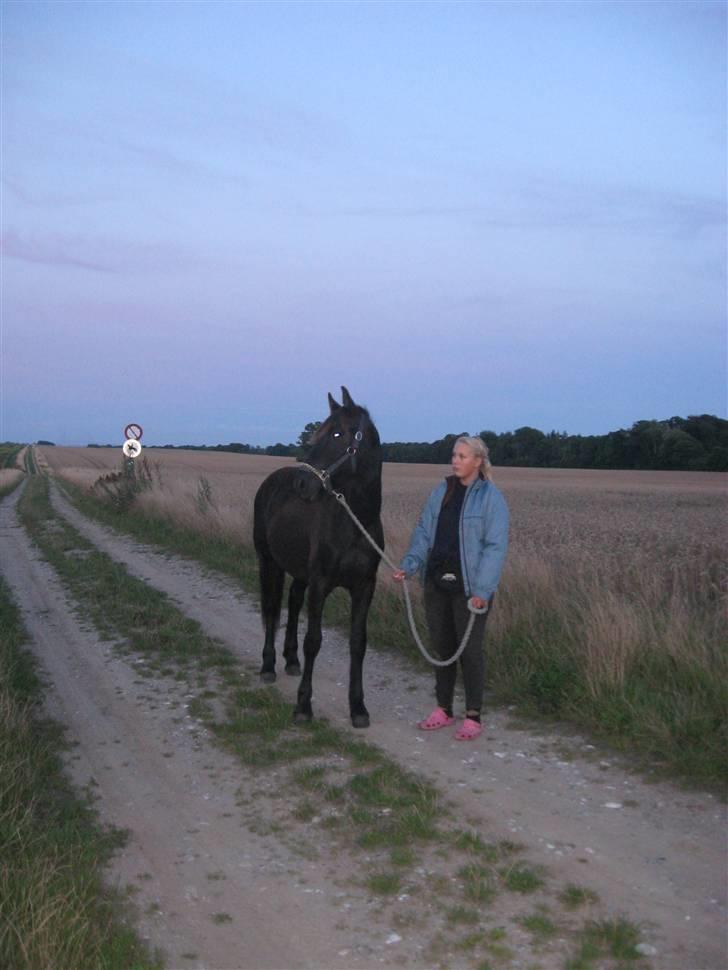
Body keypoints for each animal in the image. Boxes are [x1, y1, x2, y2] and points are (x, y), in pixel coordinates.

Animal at [253, 386, 384, 728]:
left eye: (338, 433)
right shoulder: (321, 583)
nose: (302, 483)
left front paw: (358, 707)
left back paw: (291, 660)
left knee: (293, 603)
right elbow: (314, 640)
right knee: (272, 609)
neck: (355, 523)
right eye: (319, 433)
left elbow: (358, 643)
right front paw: (303, 706)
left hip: (300, 573)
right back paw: (269, 666)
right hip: (269, 562)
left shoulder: (365, 586)